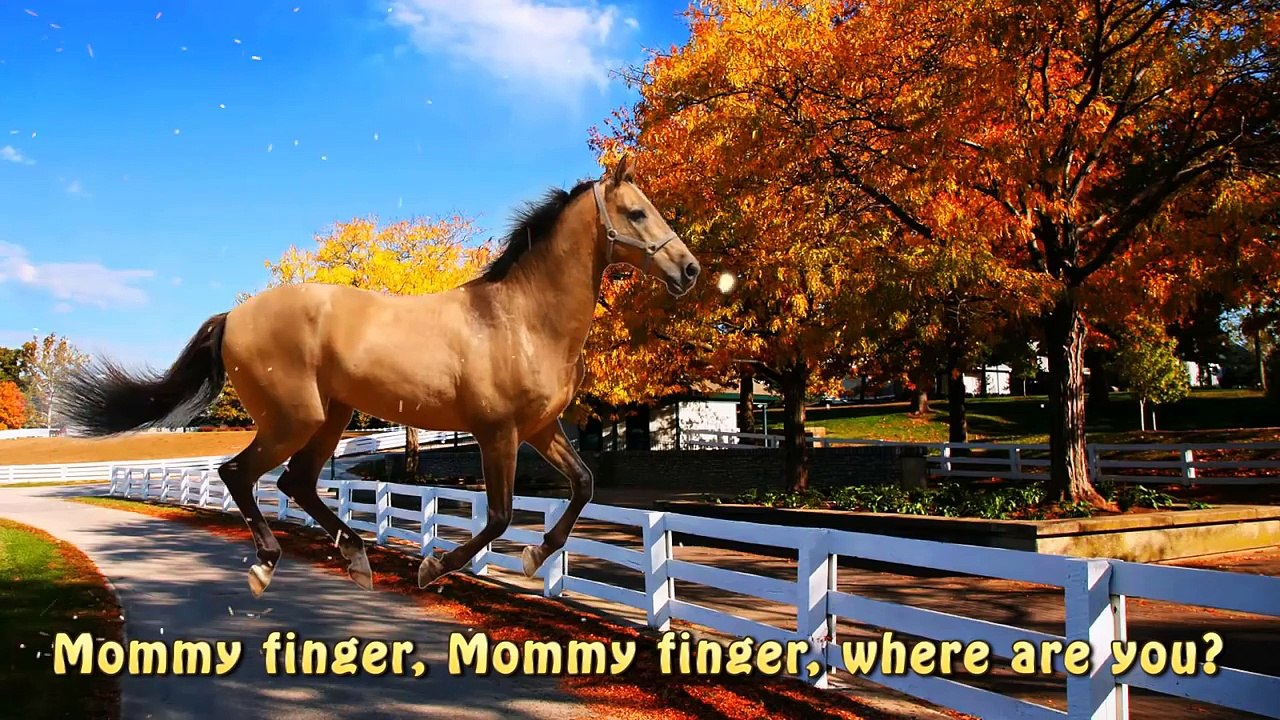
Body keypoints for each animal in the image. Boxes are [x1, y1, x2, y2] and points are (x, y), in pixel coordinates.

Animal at [61, 155, 700, 598]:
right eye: (637, 212)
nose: (690, 270)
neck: (520, 318)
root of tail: (233, 316)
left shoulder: (541, 430)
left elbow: (583, 486)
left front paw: (533, 558)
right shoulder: (498, 434)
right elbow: (497, 515)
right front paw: (432, 566)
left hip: (331, 418)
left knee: (295, 483)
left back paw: (357, 557)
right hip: (294, 420)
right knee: (239, 474)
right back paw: (267, 566)